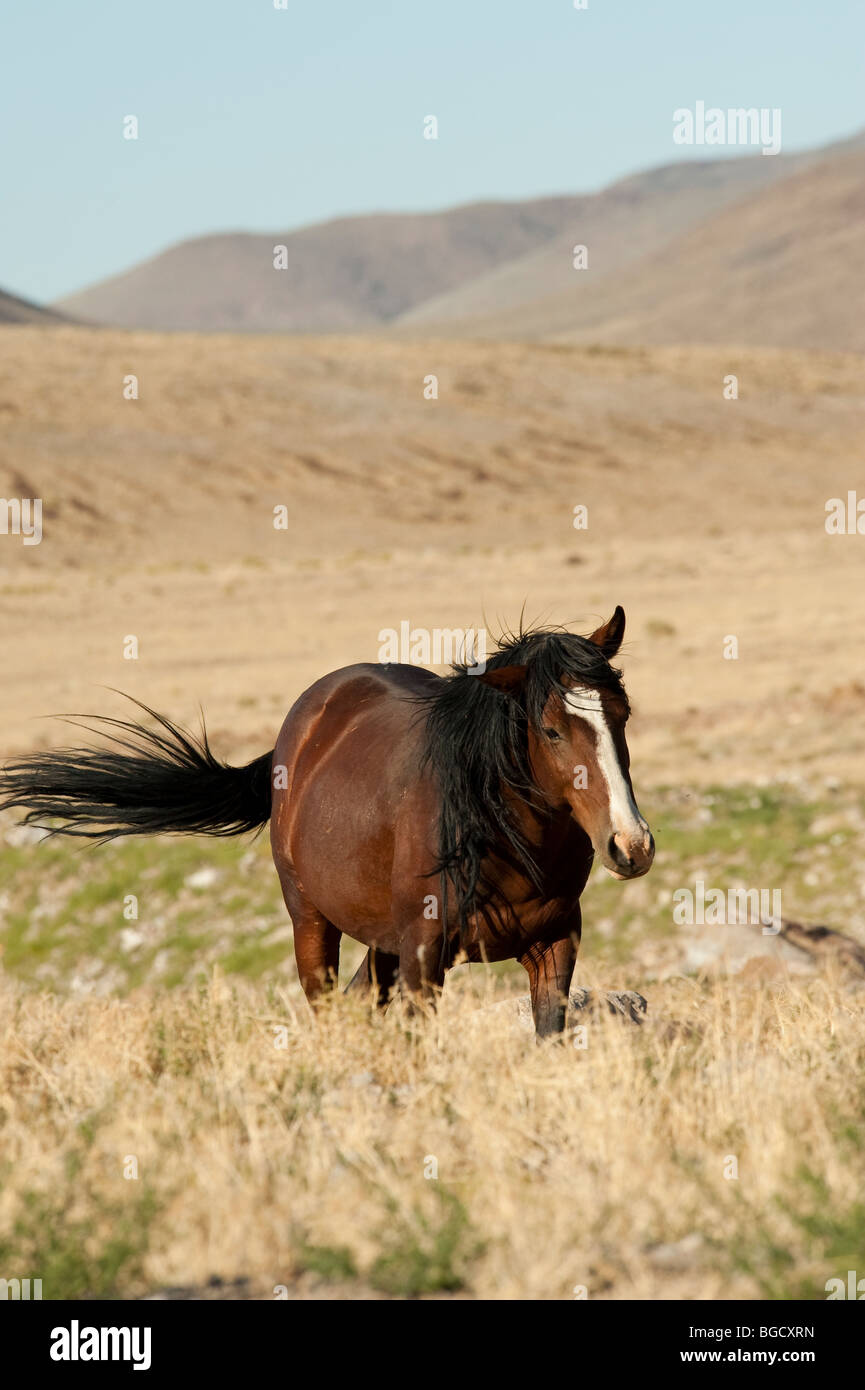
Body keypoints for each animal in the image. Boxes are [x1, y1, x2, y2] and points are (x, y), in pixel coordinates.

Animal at [0, 606, 654, 1037]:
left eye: (622, 714)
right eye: (550, 729)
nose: (631, 846)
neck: (497, 838)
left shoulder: (553, 947)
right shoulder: (424, 958)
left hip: (382, 941)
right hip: (312, 922)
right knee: (325, 1005)